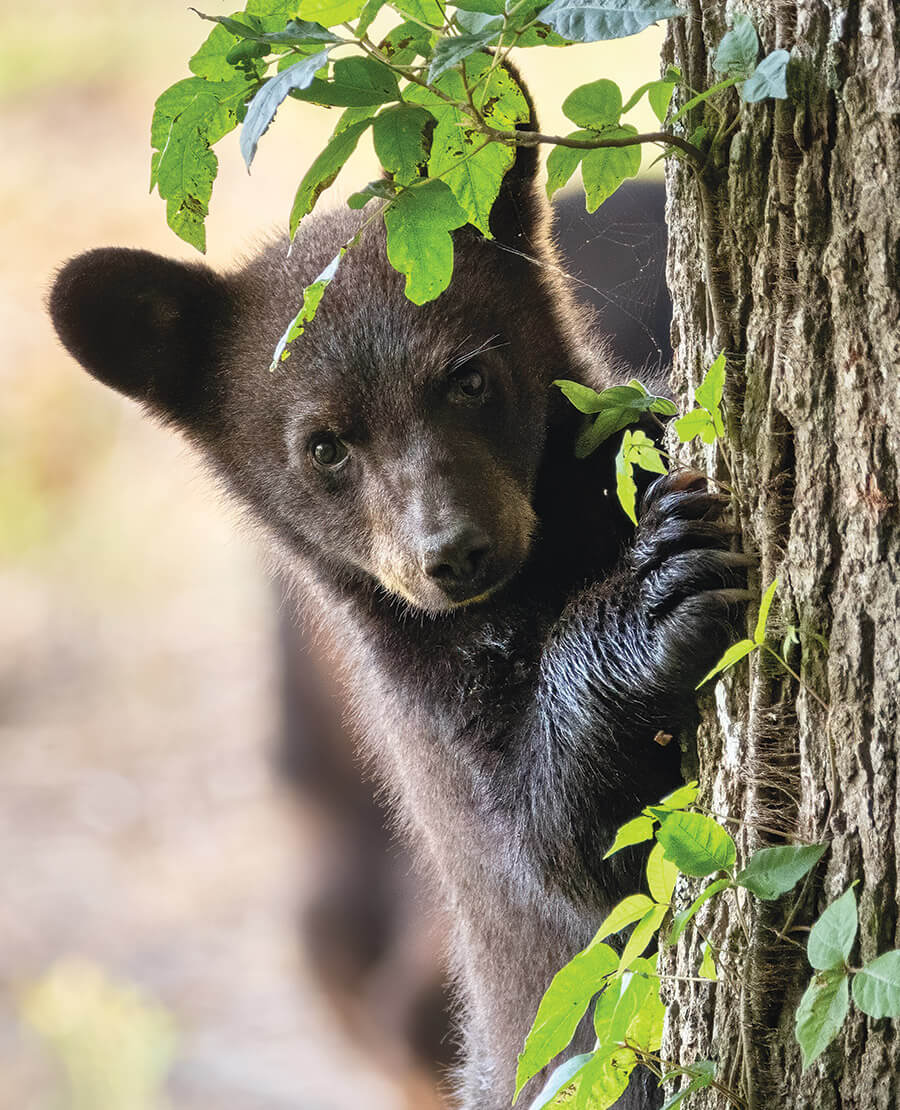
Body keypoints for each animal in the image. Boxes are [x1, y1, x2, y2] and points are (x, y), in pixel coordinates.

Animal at [48, 91, 748, 1107]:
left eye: (469, 377)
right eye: (324, 445)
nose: (453, 553)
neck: (538, 577)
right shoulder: (427, 705)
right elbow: (570, 842)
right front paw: (656, 594)